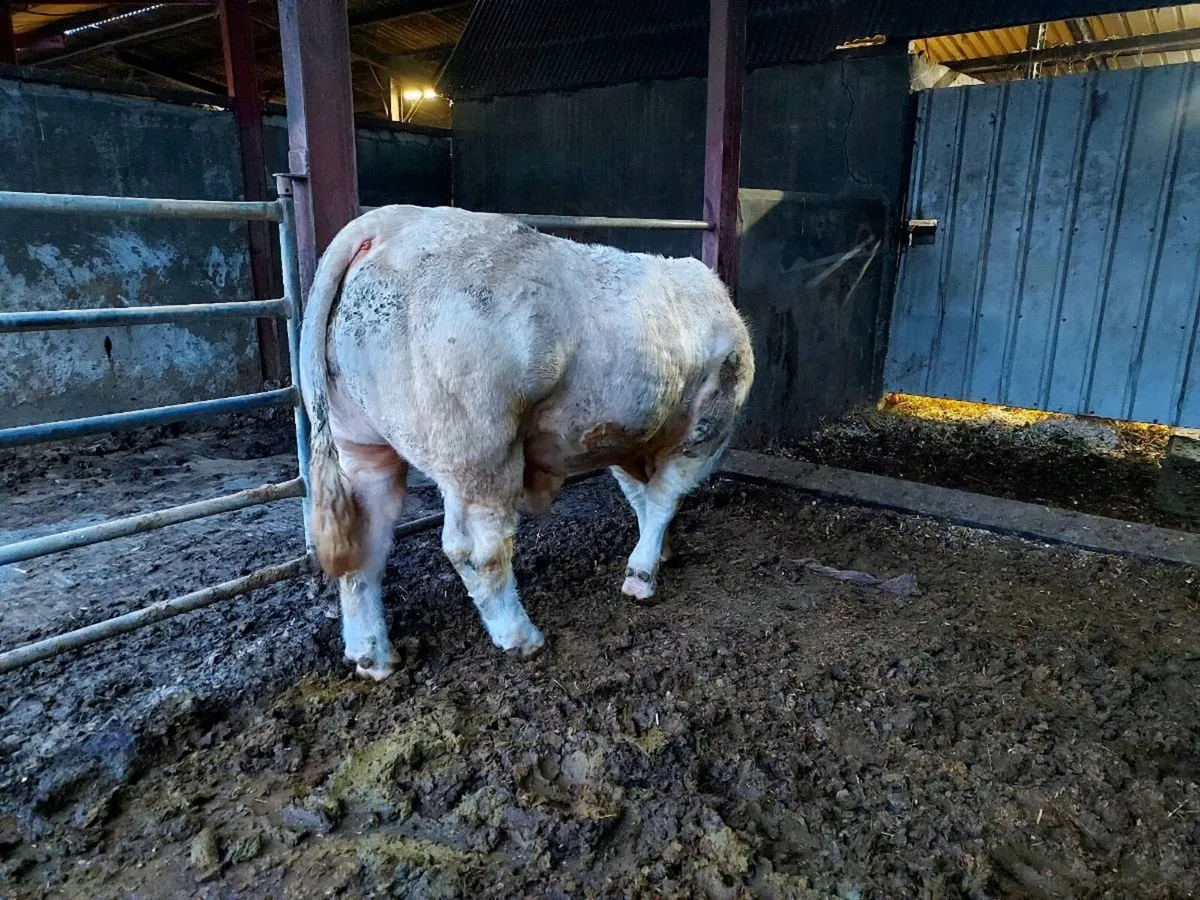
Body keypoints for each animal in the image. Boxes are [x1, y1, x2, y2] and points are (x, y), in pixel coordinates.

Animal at [300, 205, 754, 680]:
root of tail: (388, 223)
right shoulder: (707, 430)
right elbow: (664, 498)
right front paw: (642, 574)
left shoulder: (622, 439)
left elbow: (642, 498)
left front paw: (660, 550)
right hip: (481, 452)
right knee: (477, 550)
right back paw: (520, 636)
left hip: (364, 447)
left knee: (364, 549)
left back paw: (373, 656)